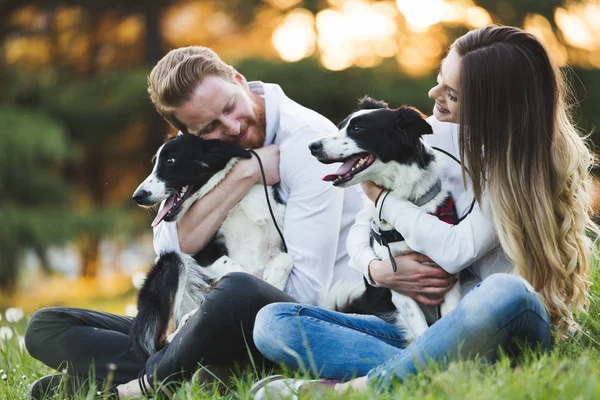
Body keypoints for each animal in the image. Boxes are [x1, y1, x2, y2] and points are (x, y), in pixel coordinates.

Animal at [129, 134, 292, 360]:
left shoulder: (280, 241)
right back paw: (187, 320)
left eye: (170, 160)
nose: (138, 196)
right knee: (160, 342)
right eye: (154, 164)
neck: (240, 201)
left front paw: (273, 283)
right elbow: (241, 272)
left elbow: (286, 259)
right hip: (172, 260)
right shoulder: (205, 255)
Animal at [312, 97, 462, 344]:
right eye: (340, 126)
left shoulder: (449, 278)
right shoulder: (398, 284)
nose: (312, 146)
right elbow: (423, 331)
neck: (405, 198)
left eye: (358, 129)